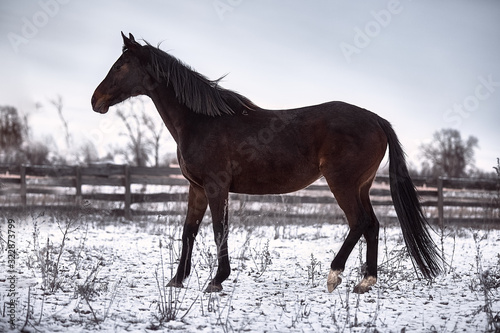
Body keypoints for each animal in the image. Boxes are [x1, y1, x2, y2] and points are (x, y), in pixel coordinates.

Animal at [91, 32, 442, 292]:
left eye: (121, 66)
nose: (96, 100)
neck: (201, 121)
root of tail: (377, 119)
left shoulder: (217, 188)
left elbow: (219, 229)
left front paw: (217, 280)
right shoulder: (198, 189)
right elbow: (188, 231)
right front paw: (177, 280)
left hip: (342, 184)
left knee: (359, 223)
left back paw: (334, 275)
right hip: (361, 187)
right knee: (372, 225)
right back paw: (365, 281)